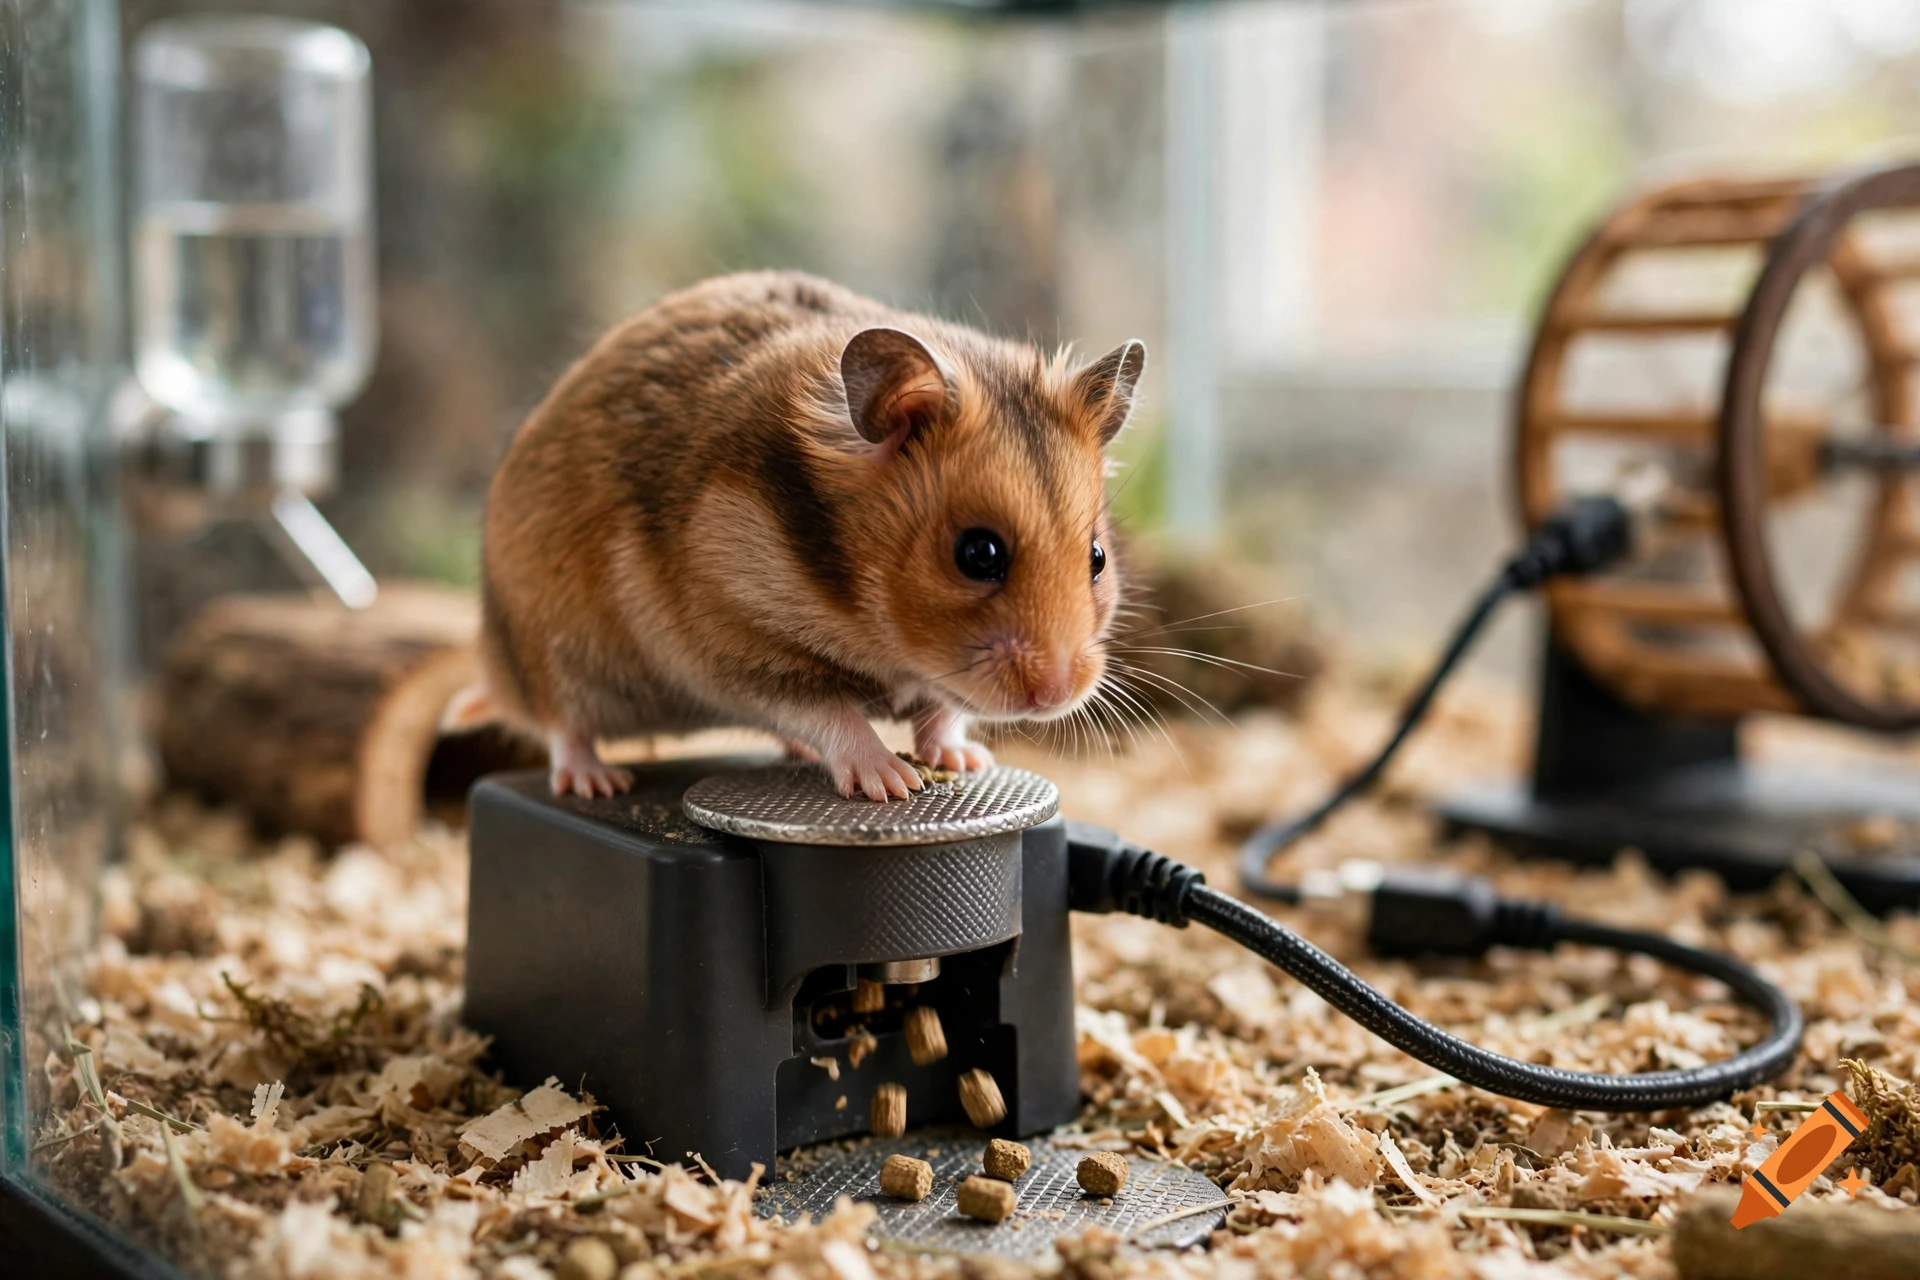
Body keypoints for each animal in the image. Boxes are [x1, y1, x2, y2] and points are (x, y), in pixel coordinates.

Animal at [473, 270, 1144, 801]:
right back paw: (597, 781)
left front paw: (966, 761)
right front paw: (891, 782)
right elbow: (827, 711)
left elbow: (942, 709)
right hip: (553, 653)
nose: (1057, 694)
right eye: (977, 554)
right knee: (563, 724)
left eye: (1097, 557)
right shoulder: (737, 648)